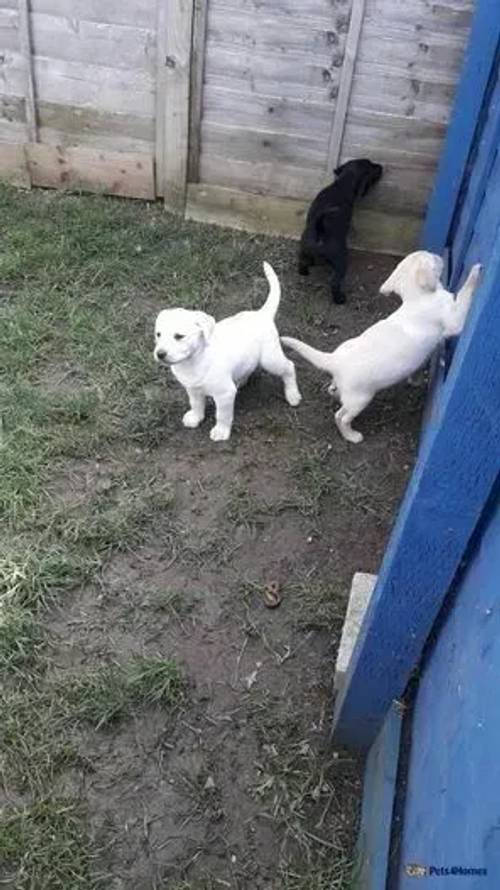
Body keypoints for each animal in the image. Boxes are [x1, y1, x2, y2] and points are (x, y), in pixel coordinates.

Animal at [152, 258, 300, 438]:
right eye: (158, 334)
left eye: (179, 336)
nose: (160, 354)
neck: (193, 361)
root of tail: (261, 314)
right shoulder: (192, 389)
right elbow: (196, 404)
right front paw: (196, 417)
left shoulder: (224, 394)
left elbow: (222, 415)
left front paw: (221, 431)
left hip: (271, 359)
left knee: (289, 367)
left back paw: (293, 394)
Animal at [282, 250, 480, 444]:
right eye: (431, 257)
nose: (440, 255)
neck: (417, 297)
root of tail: (335, 360)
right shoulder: (454, 321)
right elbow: (464, 295)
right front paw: (475, 272)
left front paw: (415, 380)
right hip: (360, 399)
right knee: (341, 417)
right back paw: (352, 436)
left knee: (335, 394)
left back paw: (334, 392)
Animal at [296, 156, 382, 302]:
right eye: (371, 166)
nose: (381, 166)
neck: (342, 183)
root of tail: (320, 232)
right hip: (341, 261)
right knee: (335, 283)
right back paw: (339, 299)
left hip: (304, 247)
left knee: (302, 261)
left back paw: (305, 271)